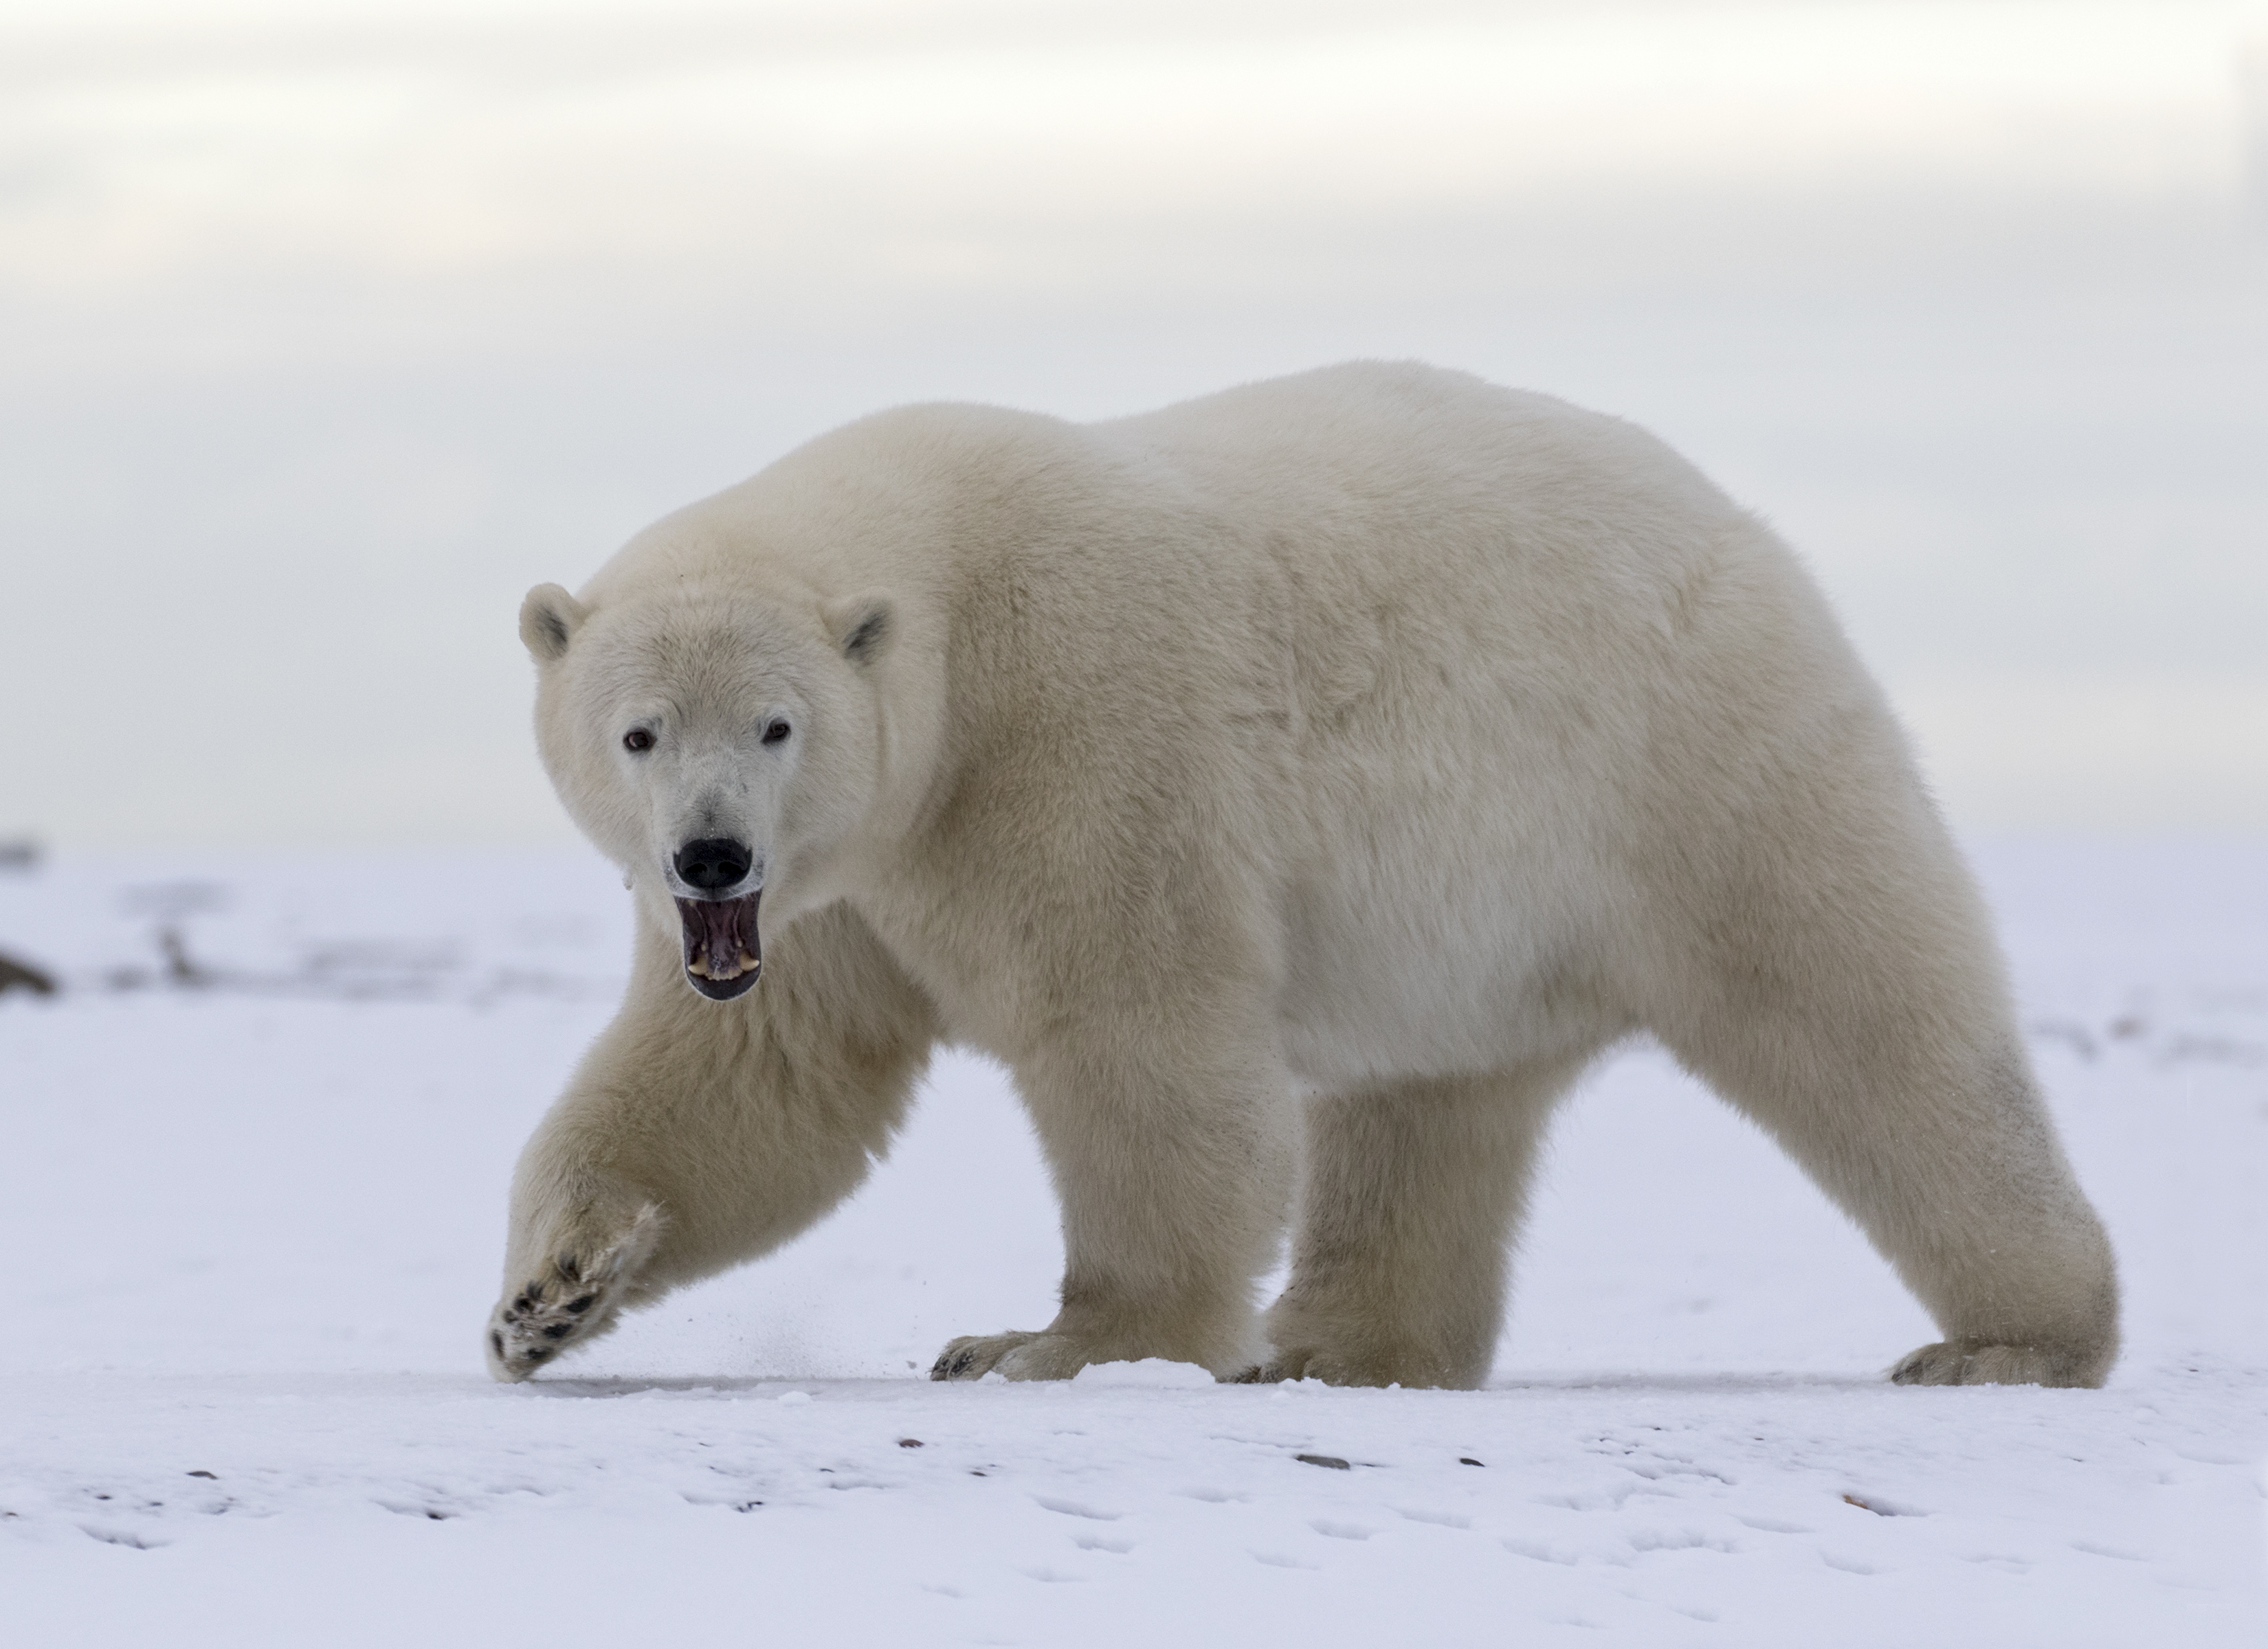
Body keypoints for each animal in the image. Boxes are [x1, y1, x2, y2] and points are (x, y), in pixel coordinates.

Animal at [482, 360, 2122, 1397]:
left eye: (776, 723)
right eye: (638, 730)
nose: (709, 850)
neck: (951, 601)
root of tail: (1740, 527)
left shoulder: (1078, 734)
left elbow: (1138, 1037)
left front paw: (1047, 1344)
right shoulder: (837, 889)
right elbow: (756, 1077)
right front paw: (546, 1298)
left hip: (1690, 765)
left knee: (1867, 1019)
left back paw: (2013, 1340)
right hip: (1483, 927)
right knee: (1427, 1113)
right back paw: (1333, 1347)